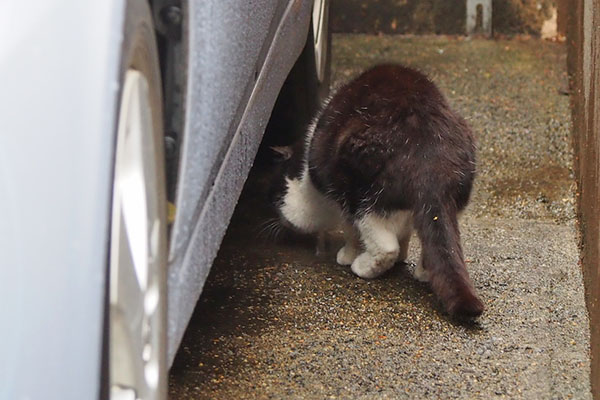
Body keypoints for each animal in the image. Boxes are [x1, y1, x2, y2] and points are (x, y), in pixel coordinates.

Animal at [272, 64, 482, 318]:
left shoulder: (340, 202)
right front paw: (403, 256)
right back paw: (424, 272)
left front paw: (348, 255)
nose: (281, 221)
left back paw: (364, 266)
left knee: (384, 246)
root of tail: (428, 150)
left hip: (359, 193)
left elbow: (352, 233)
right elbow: (405, 235)